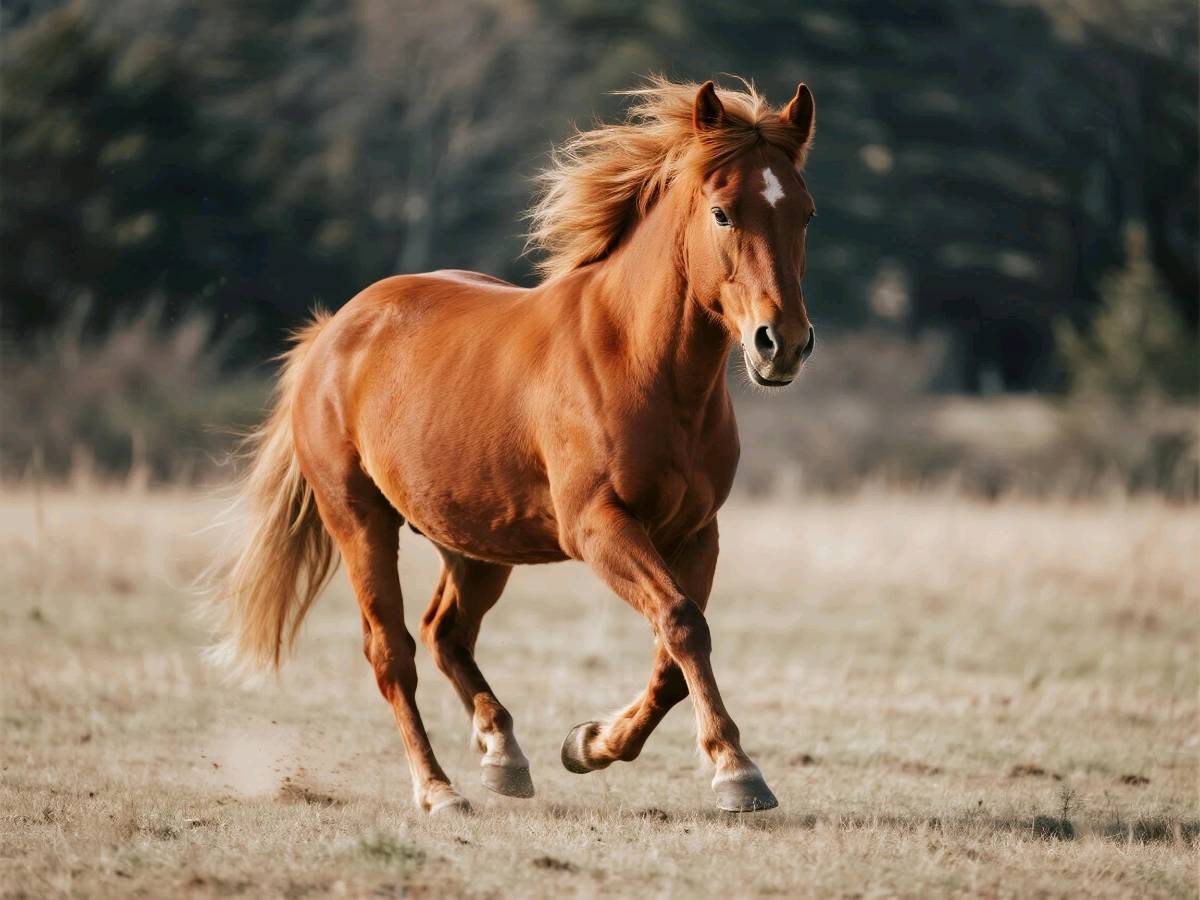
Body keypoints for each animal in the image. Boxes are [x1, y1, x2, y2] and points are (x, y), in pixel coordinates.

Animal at [209, 77, 817, 815]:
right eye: (724, 213)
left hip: (473, 542)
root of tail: (331, 333)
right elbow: (681, 624)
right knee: (392, 651)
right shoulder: (598, 526)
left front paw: (591, 743)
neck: (639, 362)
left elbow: (675, 651)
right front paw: (736, 770)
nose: (781, 343)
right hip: (359, 521)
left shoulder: (697, 532)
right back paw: (438, 789)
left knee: (446, 633)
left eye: (806, 214)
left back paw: (502, 753)